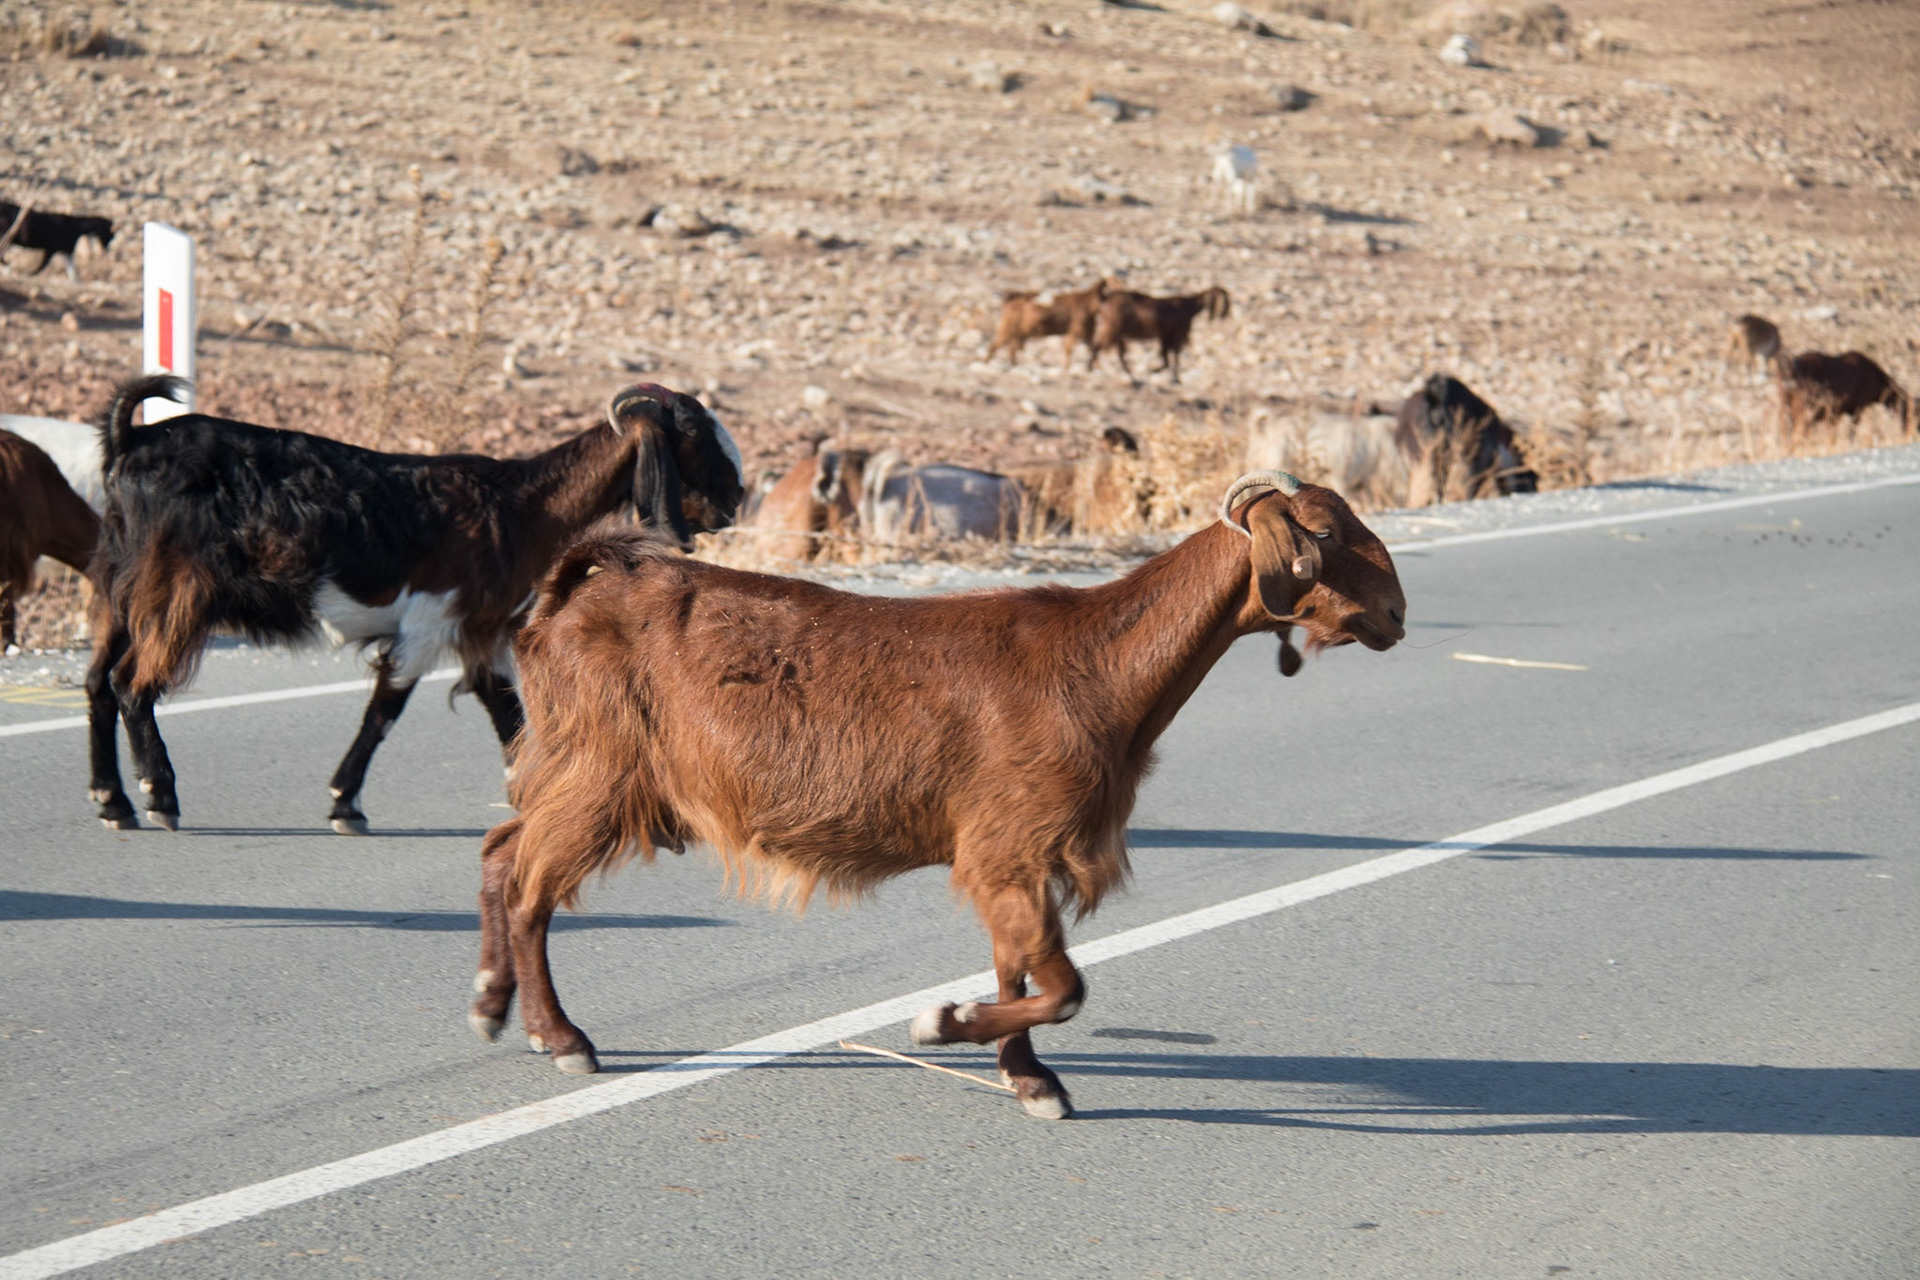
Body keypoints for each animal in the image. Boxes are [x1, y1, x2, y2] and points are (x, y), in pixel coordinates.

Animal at [84, 375, 744, 835]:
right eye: (692, 434)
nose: (737, 498)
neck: (518, 507)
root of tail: (131, 439)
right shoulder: (429, 623)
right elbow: (385, 711)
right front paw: (345, 804)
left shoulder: (480, 629)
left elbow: (504, 709)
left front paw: (529, 789)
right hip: (177, 588)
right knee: (131, 683)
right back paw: (159, 796)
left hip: (121, 586)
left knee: (97, 682)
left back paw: (113, 801)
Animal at [468, 471, 1406, 1119]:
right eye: (1325, 531)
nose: (1397, 614)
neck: (1098, 664)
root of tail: (567, 592)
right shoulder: (1009, 845)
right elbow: (1062, 985)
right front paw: (942, 1025)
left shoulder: (1016, 857)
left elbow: (1019, 965)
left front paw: (1029, 1079)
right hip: (599, 772)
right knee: (529, 887)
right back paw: (561, 1037)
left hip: (577, 771)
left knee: (500, 852)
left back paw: (491, 1003)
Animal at [1090, 287, 1231, 383]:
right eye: (1225, 302)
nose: (1226, 314)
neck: (1189, 307)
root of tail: (1105, 300)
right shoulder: (1176, 334)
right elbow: (1173, 355)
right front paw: (1175, 377)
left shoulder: (1166, 336)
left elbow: (1166, 357)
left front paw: (1158, 371)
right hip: (1112, 328)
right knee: (1099, 346)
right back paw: (1091, 367)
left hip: (1116, 332)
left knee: (1118, 352)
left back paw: (1127, 371)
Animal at [1778, 351, 1912, 438]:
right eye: (1907, 410)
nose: (1906, 431)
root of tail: (1790, 372)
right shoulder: (1858, 407)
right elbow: (1851, 432)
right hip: (1803, 409)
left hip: (1787, 407)